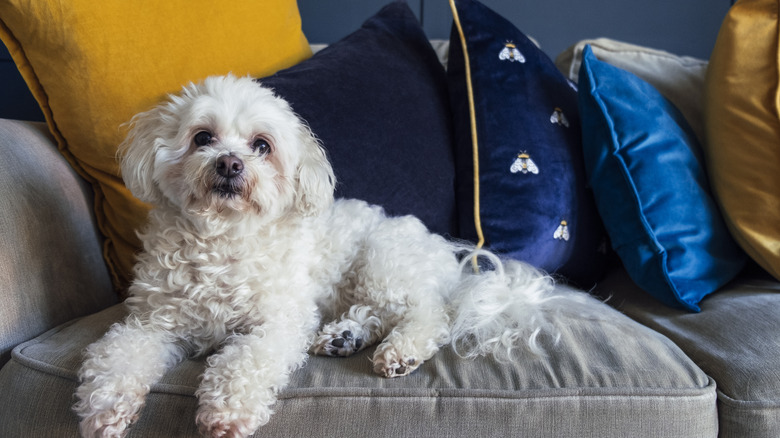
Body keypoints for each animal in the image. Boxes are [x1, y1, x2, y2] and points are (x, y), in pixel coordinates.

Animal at [74, 75, 596, 438]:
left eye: (262, 145)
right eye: (203, 137)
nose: (230, 163)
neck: (221, 241)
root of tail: (448, 260)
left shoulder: (278, 322)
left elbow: (243, 362)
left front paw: (226, 412)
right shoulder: (151, 323)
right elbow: (117, 355)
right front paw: (106, 408)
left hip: (384, 260)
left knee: (429, 315)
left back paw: (399, 350)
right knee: (380, 314)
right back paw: (346, 336)